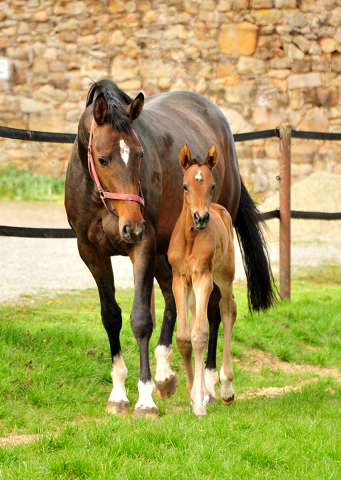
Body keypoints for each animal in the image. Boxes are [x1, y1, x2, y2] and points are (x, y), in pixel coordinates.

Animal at [167, 143, 236, 416]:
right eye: (185, 185)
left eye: (212, 185)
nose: (201, 218)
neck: (190, 238)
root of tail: (219, 210)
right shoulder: (180, 280)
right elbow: (184, 337)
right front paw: (192, 393)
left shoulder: (204, 277)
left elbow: (200, 335)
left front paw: (198, 400)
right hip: (195, 290)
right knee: (201, 311)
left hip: (224, 276)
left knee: (227, 310)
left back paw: (226, 389)